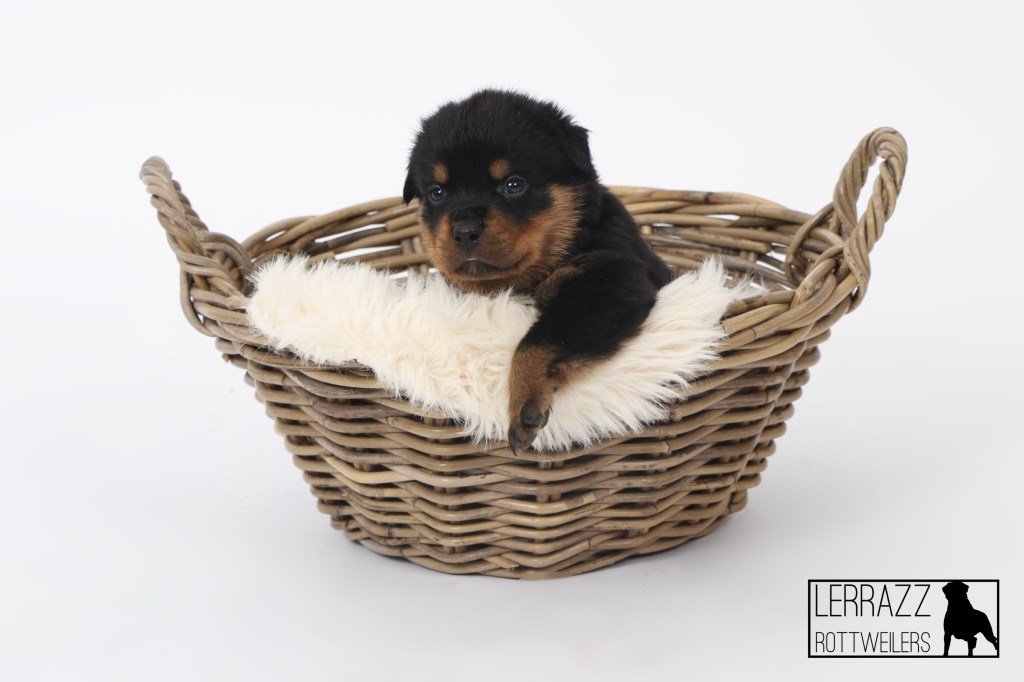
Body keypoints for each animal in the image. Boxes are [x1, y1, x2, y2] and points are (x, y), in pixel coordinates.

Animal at [403, 89, 672, 453]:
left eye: (513, 184)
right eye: (437, 192)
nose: (464, 230)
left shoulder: (613, 279)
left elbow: (539, 339)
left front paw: (523, 405)